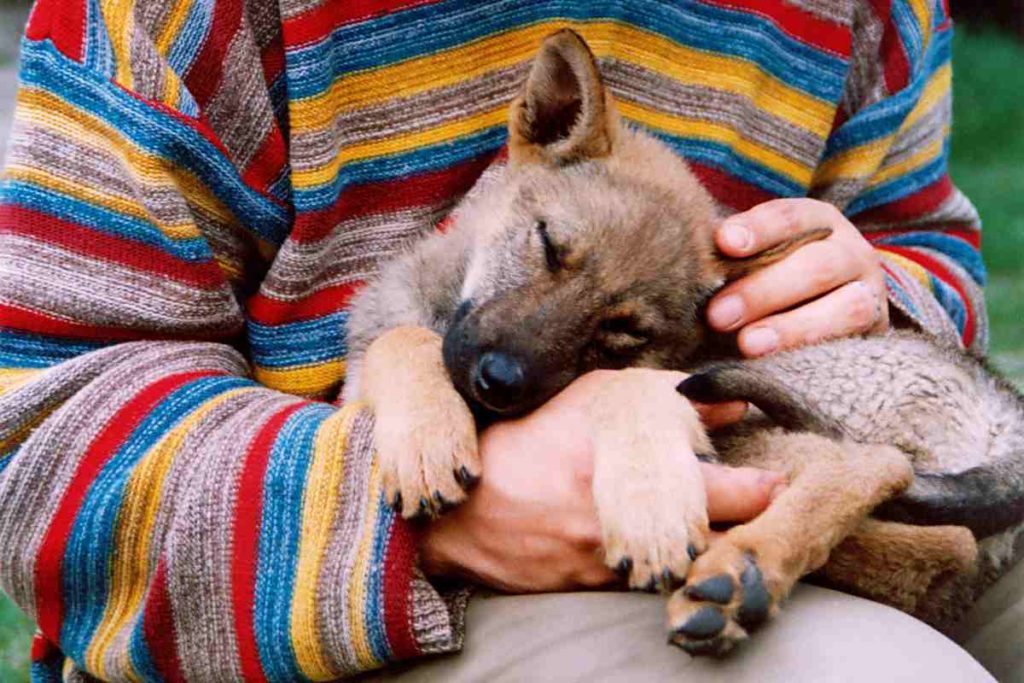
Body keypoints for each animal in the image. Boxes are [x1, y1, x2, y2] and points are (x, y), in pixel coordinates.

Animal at [346, 29, 1024, 655]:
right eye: (548, 245)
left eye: (624, 330)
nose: (496, 382)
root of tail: (1001, 407)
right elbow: (398, 340)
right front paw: (427, 438)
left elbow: (617, 387)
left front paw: (650, 504)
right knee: (939, 547)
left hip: (763, 418)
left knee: (895, 491)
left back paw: (736, 567)